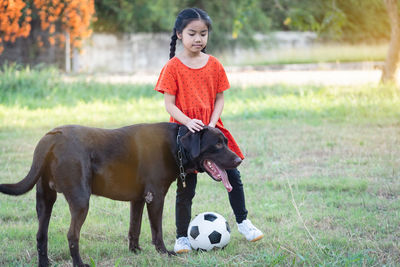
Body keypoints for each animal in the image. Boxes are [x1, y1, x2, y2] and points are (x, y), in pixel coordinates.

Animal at [0, 122, 241, 266]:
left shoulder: (138, 199)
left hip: (44, 199)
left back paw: (45, 263)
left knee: (41, 235)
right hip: (80, 200)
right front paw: (164, 253)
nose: (239, 160)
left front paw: (135, 251)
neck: (176, 145)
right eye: (217, 144)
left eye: (226, 142)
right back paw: (79, 263)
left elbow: (134, 227)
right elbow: (157, 230)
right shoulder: (155, 196)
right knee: (71, 235)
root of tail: (52, 137)